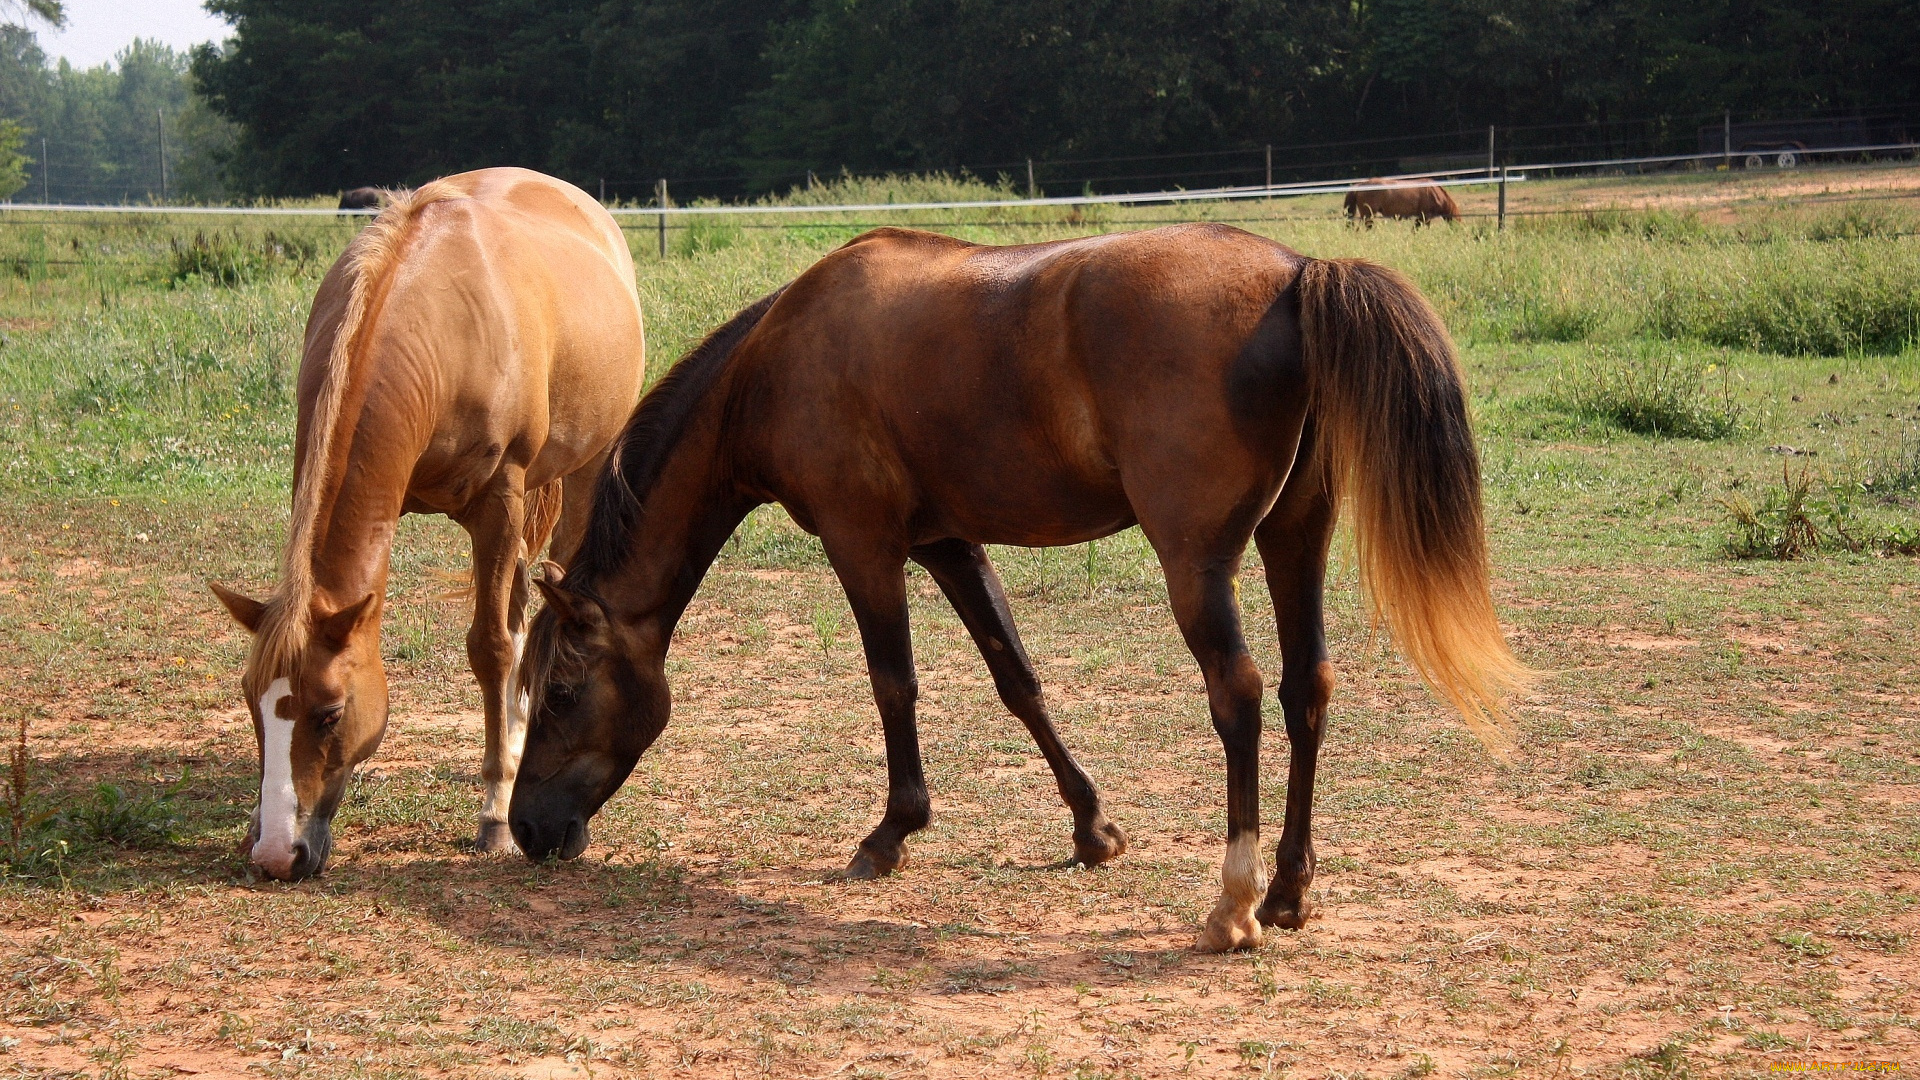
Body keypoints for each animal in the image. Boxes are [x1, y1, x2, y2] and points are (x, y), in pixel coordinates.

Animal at [208, 166, 645, 876]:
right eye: (251, 702)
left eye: (329, 713)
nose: (276, 854)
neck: (430, 326)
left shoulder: (500, 503)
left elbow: (491, 648)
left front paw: (495, 813)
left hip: (581, 472)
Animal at [510, 222, 1528, 945]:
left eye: (559, 693)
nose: (526, 829)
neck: (777, 360)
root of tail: (1295, 274)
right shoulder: (950, 544)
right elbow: (1018, 679)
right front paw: (1092, 830)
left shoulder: (862, 544)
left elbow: (893, 685)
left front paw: (890, 834)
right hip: (1294, 541)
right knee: (1304, 688)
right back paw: (1285, 892)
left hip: (1198, 564)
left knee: (1237, 696)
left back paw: (1232, 905)